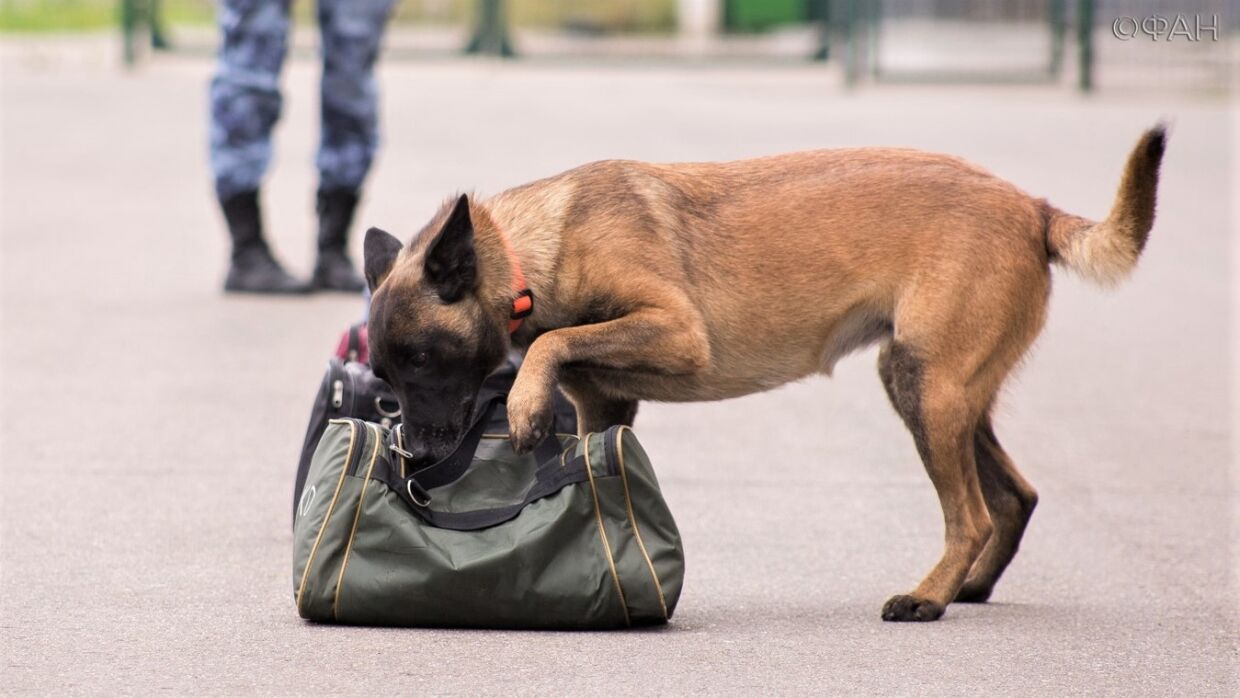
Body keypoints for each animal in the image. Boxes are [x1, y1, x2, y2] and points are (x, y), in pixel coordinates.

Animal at [362, 128, 1165, 624]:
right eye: (385, 374)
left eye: (423, 360)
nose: (419, 458)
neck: (532, 250)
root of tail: (1033, 207)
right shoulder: (605, 407)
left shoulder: (678, 332)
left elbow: (551, 341)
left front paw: (526, 402)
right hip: (942, 391)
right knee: (1016, 497)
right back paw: (967, 586)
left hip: (926, 388)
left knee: (969, 515)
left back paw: (927, 598)